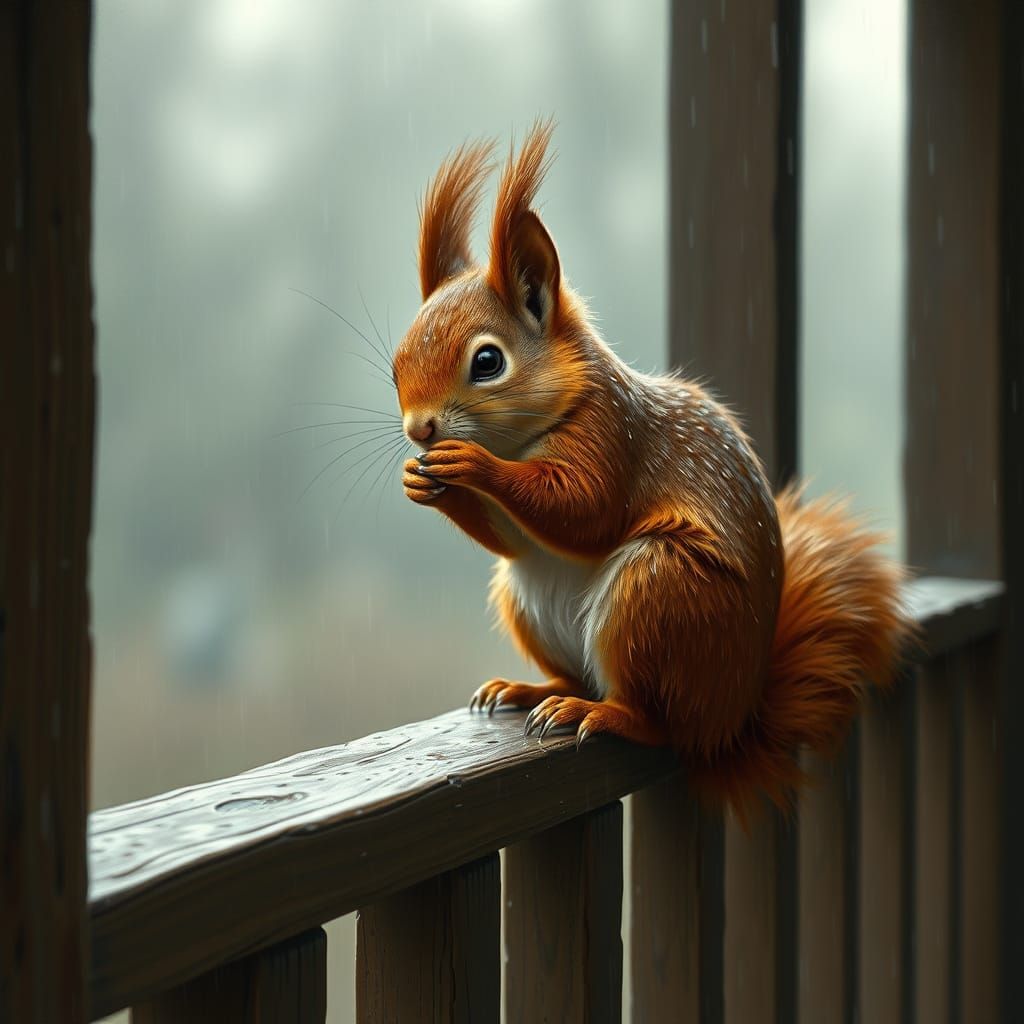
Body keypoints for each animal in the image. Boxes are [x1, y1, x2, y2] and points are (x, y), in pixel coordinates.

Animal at [392, 121, 911, 816]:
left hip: (661, 594)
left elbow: (585, 511)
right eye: (397, 362)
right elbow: (513, 538)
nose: (419, 430)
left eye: (487, 362)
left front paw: (472, 465)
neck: (524, 437)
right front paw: (426, 483)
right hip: (529, 598)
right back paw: (534, 690)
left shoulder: (613, 434)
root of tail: (729, 721)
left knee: (658, 722)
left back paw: (602, 713)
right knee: (576, 665)